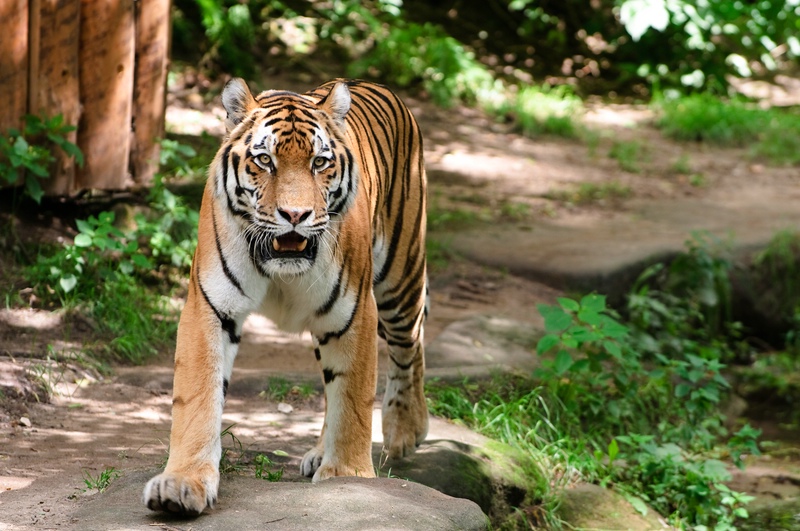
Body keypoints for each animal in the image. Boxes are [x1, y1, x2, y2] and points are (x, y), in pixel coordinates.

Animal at [142, 77, 429, 515]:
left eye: (319, 163)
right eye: (265, 161)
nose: (295, 215)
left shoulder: (355, 310)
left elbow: (354, 396)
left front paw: (347, 475)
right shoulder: (209, 305)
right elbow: (197, 395)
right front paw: (182, 484)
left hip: (400, 279)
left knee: (410, 347)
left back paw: (405, 431)